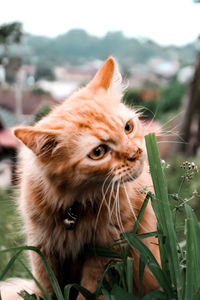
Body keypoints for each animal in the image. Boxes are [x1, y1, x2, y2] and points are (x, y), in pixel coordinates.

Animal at [0, 57, 159, 298]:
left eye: (128, 127)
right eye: (98, 152)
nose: (136, 153)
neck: (74, 204)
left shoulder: (105, 252)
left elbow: (90, 290)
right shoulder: (42, 250)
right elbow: (47, 288)